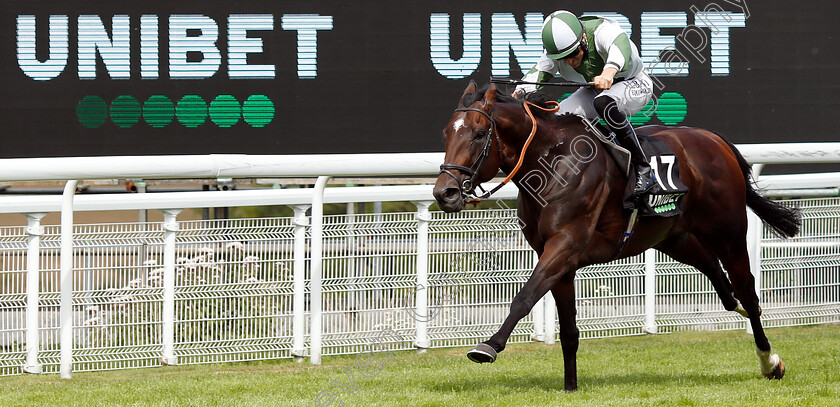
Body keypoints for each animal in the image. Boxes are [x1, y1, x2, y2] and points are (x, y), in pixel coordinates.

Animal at [434, 82, 800, 392]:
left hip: (729, 231)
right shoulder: (559, 259)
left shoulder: (564, 245)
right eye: (446, 133)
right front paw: (570, 387)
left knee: (748, 290)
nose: (444, 193)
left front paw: (488, 346)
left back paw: (769, 361)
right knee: (715, 272)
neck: (552, 159)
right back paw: (737, 309)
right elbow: (568, 330)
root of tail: (714, 139)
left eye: (479, 134)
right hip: (672, 236)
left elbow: (524, 297)